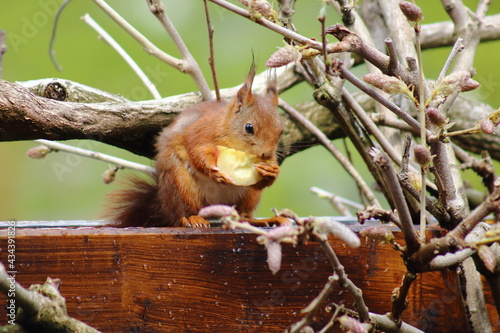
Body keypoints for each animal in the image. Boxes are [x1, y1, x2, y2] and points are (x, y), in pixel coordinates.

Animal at [108, 65, 284, 226]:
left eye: (281, 131)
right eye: (249, 127)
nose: (267, 154)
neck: (227, 128)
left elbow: (262, 183)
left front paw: (272, 170)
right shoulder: (201, 132)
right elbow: (197, 151)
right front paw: (214, 171)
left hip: (249, 196)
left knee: (242, 215)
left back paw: (263, 220)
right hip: (181, 184)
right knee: (182, 213)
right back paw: (192, 218)